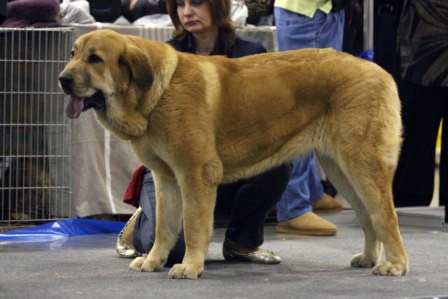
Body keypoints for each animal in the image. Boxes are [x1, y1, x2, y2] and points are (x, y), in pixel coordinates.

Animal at [59, 29, 410, 278]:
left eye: (94, 59)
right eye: (73, 54)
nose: (62, 79)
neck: (156, 93)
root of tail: (381, 71)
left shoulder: (195, 175)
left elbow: (194, 225)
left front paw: (190, 267)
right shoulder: (166, 179)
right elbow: (165, 227)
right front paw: (154, 261)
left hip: (362, 165)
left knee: (385, 214)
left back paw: (395, 264)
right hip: (341, 169)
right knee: (368, 216)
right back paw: (368, 257)